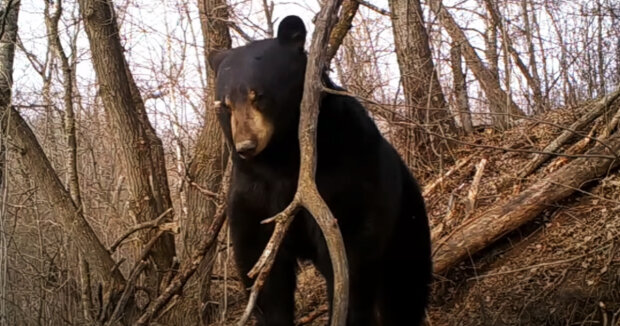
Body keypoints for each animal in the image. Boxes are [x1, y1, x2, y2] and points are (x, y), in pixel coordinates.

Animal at [208, 14, 432, 326]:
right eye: (225, 105)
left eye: (258, 96)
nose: (246, 146)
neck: (284, 157)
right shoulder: (252, 191)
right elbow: (261, 264)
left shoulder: (345, 173)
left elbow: (348, 253)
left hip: (405, 218)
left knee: (405, 284)